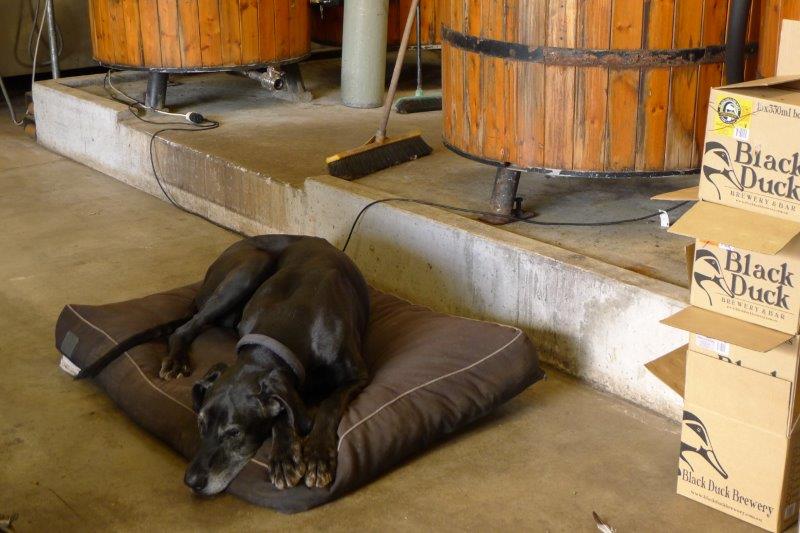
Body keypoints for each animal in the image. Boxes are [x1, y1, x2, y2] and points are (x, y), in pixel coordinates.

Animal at [167, 235, 374, 496]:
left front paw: (318, 456)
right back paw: (175, 360)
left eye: (234, 433)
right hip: (246, 271)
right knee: (186, 327)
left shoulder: (358, 376)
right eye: (200, 422)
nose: (191, 481)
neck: (295, 317)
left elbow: (329, 404)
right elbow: (283, 412)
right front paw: (284, 458)